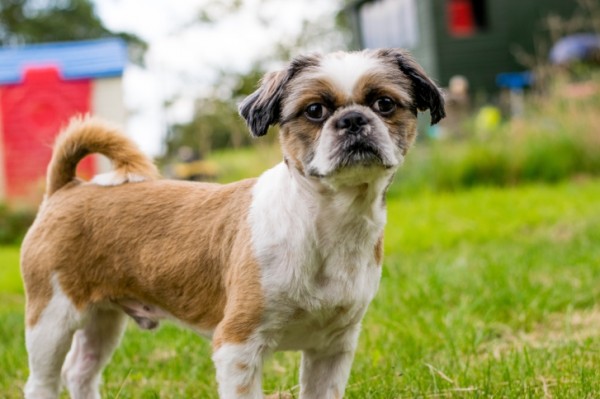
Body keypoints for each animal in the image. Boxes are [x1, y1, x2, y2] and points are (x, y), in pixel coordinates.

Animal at [21, 48, 442, 398]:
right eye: (315, 111)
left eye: (384, 103)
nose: (354, 119)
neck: (325, 224)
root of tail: (66, 187)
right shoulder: (238, 346)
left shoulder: (333, 348)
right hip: (51, 317)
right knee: (43, 381)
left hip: (102, 318)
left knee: (81, 371)